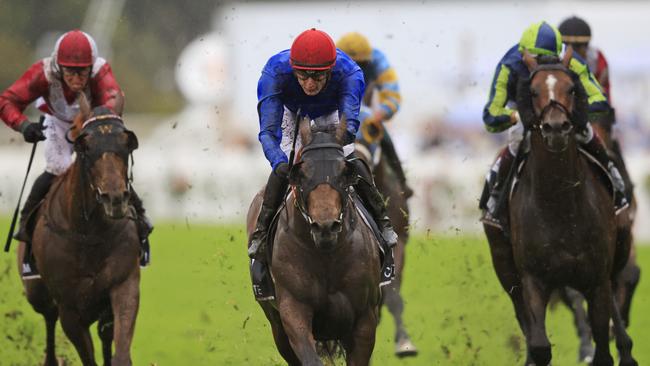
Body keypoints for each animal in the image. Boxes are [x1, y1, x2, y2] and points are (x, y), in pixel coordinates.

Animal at [19, 97, 141, 366]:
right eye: (86, 147)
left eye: (127, 144)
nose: (114, 198)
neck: (89, 232)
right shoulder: (70, 309)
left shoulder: (124, 284)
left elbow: (120, 352)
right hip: (37, 294)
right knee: (49, 317)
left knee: (105, 334)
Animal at [247, 118, 380, 364]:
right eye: (302, 173)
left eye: (344, 172)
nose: (325, 226)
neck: (327, 258)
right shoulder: (293, 310)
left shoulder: (365, 318)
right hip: (276, 324)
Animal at [484, 48, 636, 366]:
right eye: (533, 91)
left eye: (571, 89)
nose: (556, 127)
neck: (560, 204)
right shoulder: (533, 279)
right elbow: (540, 345)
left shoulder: (596, 279)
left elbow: (602, 347)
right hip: (504, 265)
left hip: (619, 245)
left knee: (617, 289)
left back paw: (626, 348)